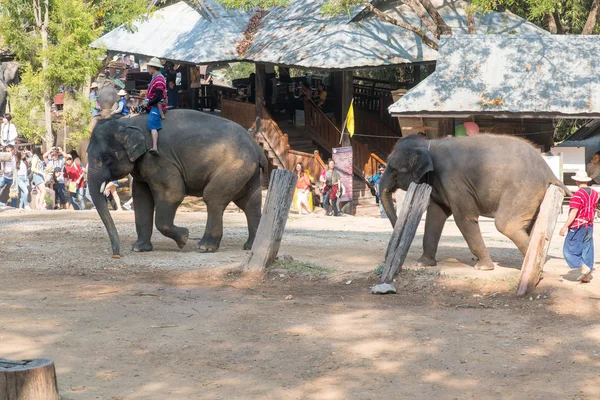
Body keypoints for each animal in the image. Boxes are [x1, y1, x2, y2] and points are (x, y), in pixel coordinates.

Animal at [88, 109, 266, 258]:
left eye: (105, 157)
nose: (116, 255)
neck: (128, 121)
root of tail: (257, 148)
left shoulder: (158, 159)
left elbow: (173, 193)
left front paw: (184, 238)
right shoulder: (143, 167)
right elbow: (141, 199)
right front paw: (138, 248)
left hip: (234, 166)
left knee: (213, 197)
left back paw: (205, 247)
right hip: (247, 171)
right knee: (249, 203)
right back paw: (250, 246)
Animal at [382, 135, 568, 272]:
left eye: (394, 169)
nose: (386, 258)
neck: (428, 144)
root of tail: (550, 172)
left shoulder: (454, 182)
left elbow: (464, 218)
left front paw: (483, 268)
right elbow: (435, 215)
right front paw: (423, 264)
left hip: (524, 189)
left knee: (506, 225)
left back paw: (536, 268)